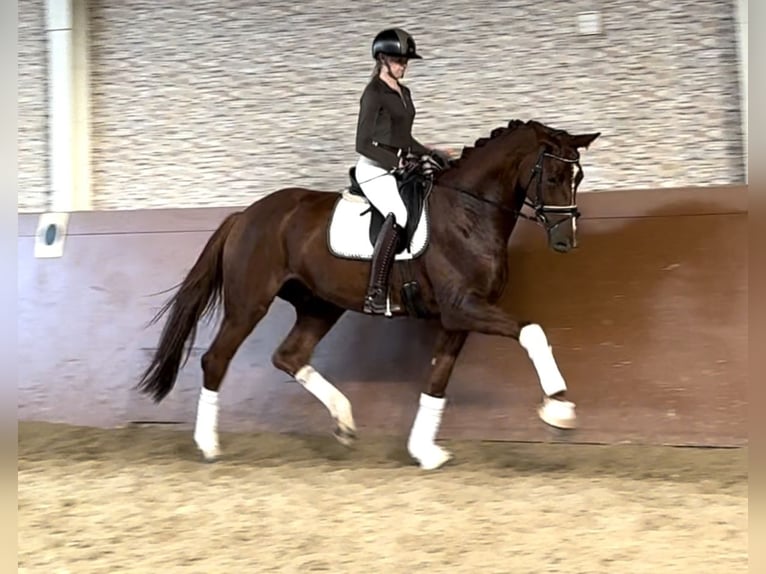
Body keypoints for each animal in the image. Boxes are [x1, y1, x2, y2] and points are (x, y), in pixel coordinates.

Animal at [141, 119, 604, 470]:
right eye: (552, 176)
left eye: (578, 177)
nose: (566, 241)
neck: (469, 212)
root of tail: (245, 215)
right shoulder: (464, 308)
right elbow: (532, 332)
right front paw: (559, 408)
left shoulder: (457, 317)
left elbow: (437, 378)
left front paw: (424, 451)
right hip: (248, 304)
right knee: (216, 359)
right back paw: (209, 446)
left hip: (320, 306)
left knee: (289, 356)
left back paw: (344, 421)